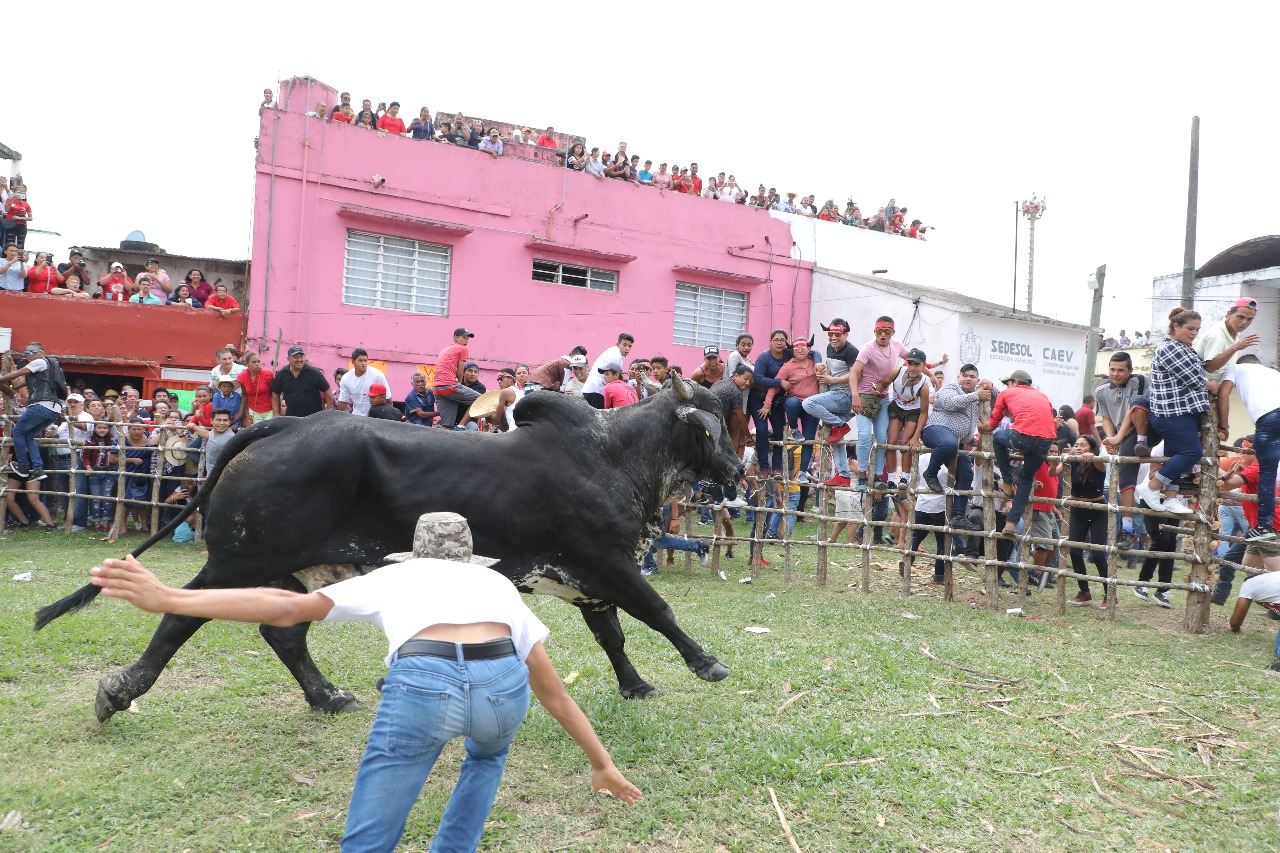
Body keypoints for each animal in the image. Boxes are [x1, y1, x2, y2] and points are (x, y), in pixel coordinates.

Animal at [37, 379, 742, 717]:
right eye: (708, 427)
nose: (737, 471)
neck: (615, 455)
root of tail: (283, 424)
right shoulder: (609, 563)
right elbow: (658, 612)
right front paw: (706, 663)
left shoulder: (590, 579)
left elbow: (615, 636)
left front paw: (636, 685)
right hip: (236, 560)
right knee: (180, 617)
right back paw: (119, 692)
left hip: (290, 570)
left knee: (283, 634)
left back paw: (327, 698)